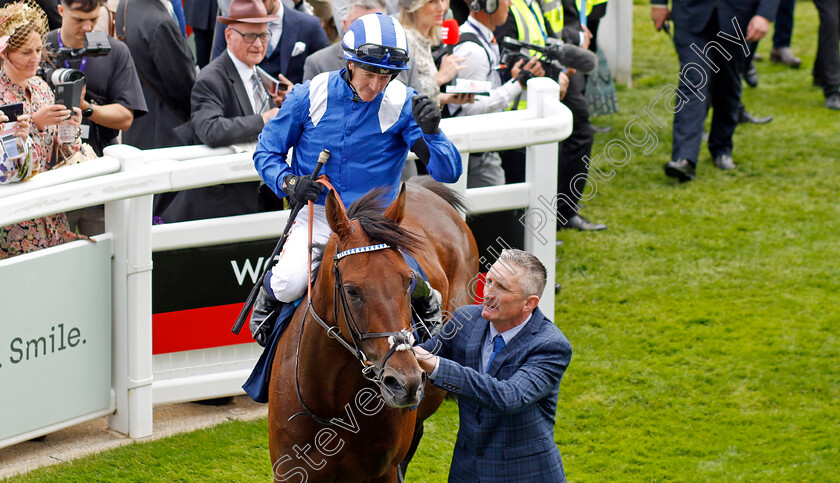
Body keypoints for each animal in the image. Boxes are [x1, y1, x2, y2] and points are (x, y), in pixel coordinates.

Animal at [270, 179, 480, 483]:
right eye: (351, 291)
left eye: (409, 281)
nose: (406, 382)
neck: (333, 405)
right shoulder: (290, 472)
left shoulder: (384, 471)